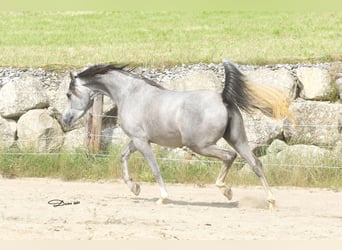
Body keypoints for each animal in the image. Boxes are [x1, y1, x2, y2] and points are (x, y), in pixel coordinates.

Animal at [62, 59, 292, 209]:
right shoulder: (137, 141)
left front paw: (162, 197)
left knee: (230, 157)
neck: (130, 94)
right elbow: (123, 157)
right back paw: (270, 202)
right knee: (256, 164)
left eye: (68, 94)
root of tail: (223, 97)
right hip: (237, 139)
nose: (65, 121)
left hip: (200, 145)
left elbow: (154, 169)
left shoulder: (142, 141)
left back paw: (226, 190)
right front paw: (135, 188)